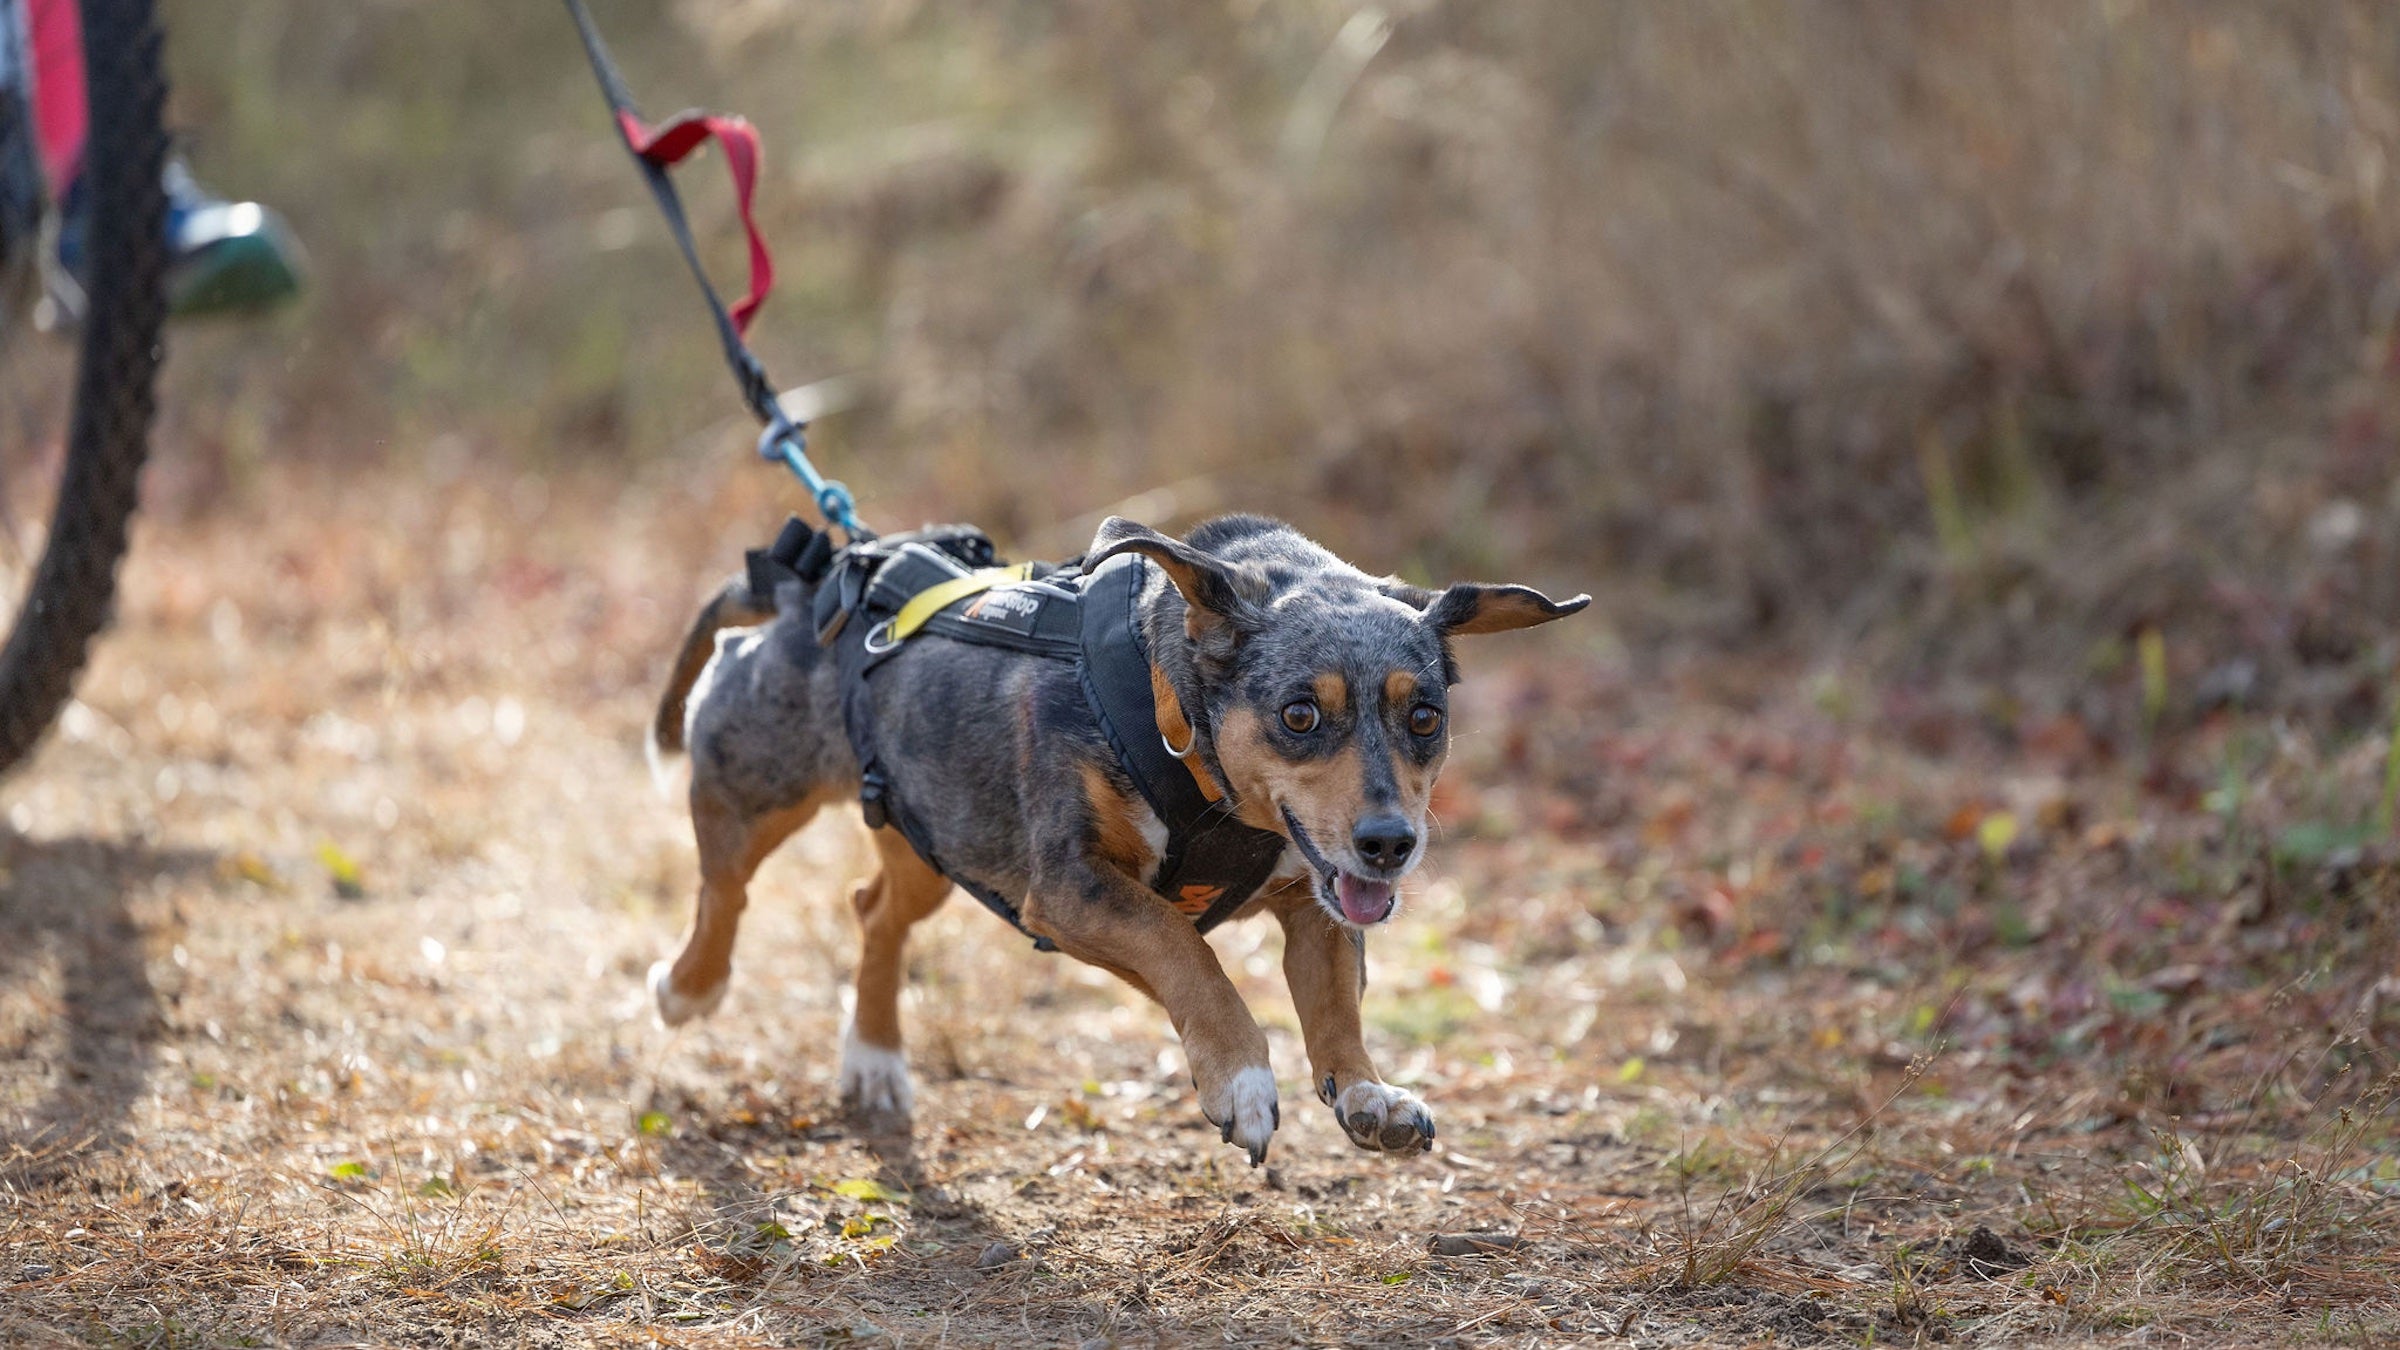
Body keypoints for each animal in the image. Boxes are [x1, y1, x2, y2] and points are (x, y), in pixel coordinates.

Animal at [648, 509, 1584, 1162]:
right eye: (1299, 714)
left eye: (1425, 716)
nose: (1390, 843)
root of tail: (808, 584)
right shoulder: (1068, 887)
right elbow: (1183, 946)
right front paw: (1241, 1076)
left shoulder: (1311, 901)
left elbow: (1330, 1001)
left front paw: (1366, 1094)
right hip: (750, 784)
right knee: (724, 890)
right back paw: (688, 987)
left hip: (934, 836)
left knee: (872, 908)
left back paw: (874, 1058)